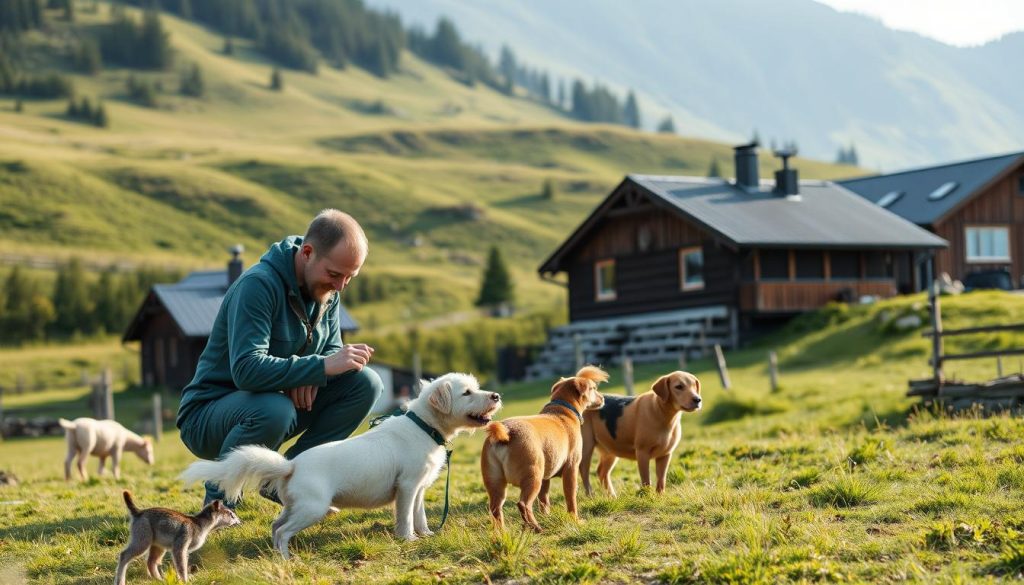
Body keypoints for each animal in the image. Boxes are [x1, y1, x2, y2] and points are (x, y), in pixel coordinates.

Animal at [186, 372, 505, 561]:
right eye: (466, 393)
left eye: (476, 388)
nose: (496, 396)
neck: (424, 427)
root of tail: (291, 465)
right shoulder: (407, 487)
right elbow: (405, 517)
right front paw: (407, 539)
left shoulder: (419, 489)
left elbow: (419, 515)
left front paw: (424, 535)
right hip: (311, 508)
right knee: (283, 531)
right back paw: (288, 559)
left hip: (297, 506)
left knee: (275, 526)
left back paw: (280, 555)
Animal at [479, 368, 606, 532]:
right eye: (593, 388)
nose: (603, 398)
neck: (563, 409)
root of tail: (505, 432)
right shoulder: (571, 469)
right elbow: (571, 498)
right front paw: (575, 520)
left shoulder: (546, 477)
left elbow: (544, 500)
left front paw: (547, 516)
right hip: (533, 476)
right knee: (523, 504)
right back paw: (535, 527)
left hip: (496, 483)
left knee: (495, 508)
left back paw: (502, 532)